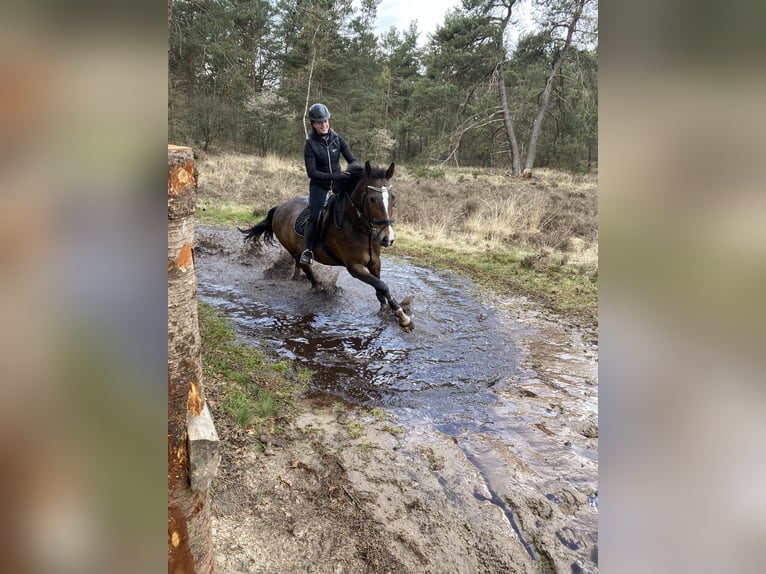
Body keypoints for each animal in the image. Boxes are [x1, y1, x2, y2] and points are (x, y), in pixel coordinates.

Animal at [240, 161, 414, 332]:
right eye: (372, 199)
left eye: (393, 198)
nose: (387, 238)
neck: (359, 228)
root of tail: (280, 207)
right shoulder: (354, 267)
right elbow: (382, 286)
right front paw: (402, 316)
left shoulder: (375, 262)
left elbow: (380, 287)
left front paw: (387, 309)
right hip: (294, 250)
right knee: (306, 268)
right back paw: (320, 288)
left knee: (299, 266)